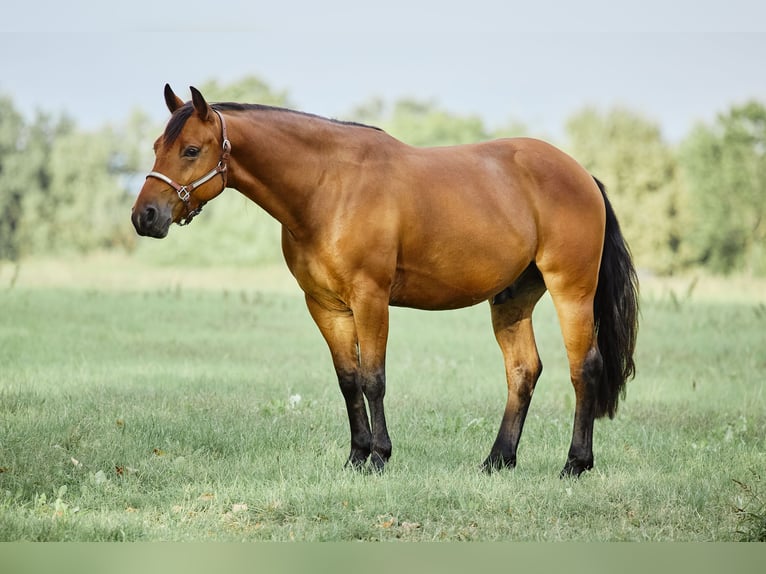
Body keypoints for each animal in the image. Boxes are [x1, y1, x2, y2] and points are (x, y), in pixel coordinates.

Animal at [132, 85, 640, 480]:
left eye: (191, 150)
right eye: (157, 145)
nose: (145, 216)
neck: (328, 188)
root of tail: (584, 175)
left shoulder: (370, 298)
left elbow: (373, 379)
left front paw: (379, 457)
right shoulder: (325, 305)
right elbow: (348, 380)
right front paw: (355, 457)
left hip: (571, 291)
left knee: (584, 368)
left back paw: (575, 464)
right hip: (512, 298)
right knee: (522, 371)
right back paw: (498, 460)